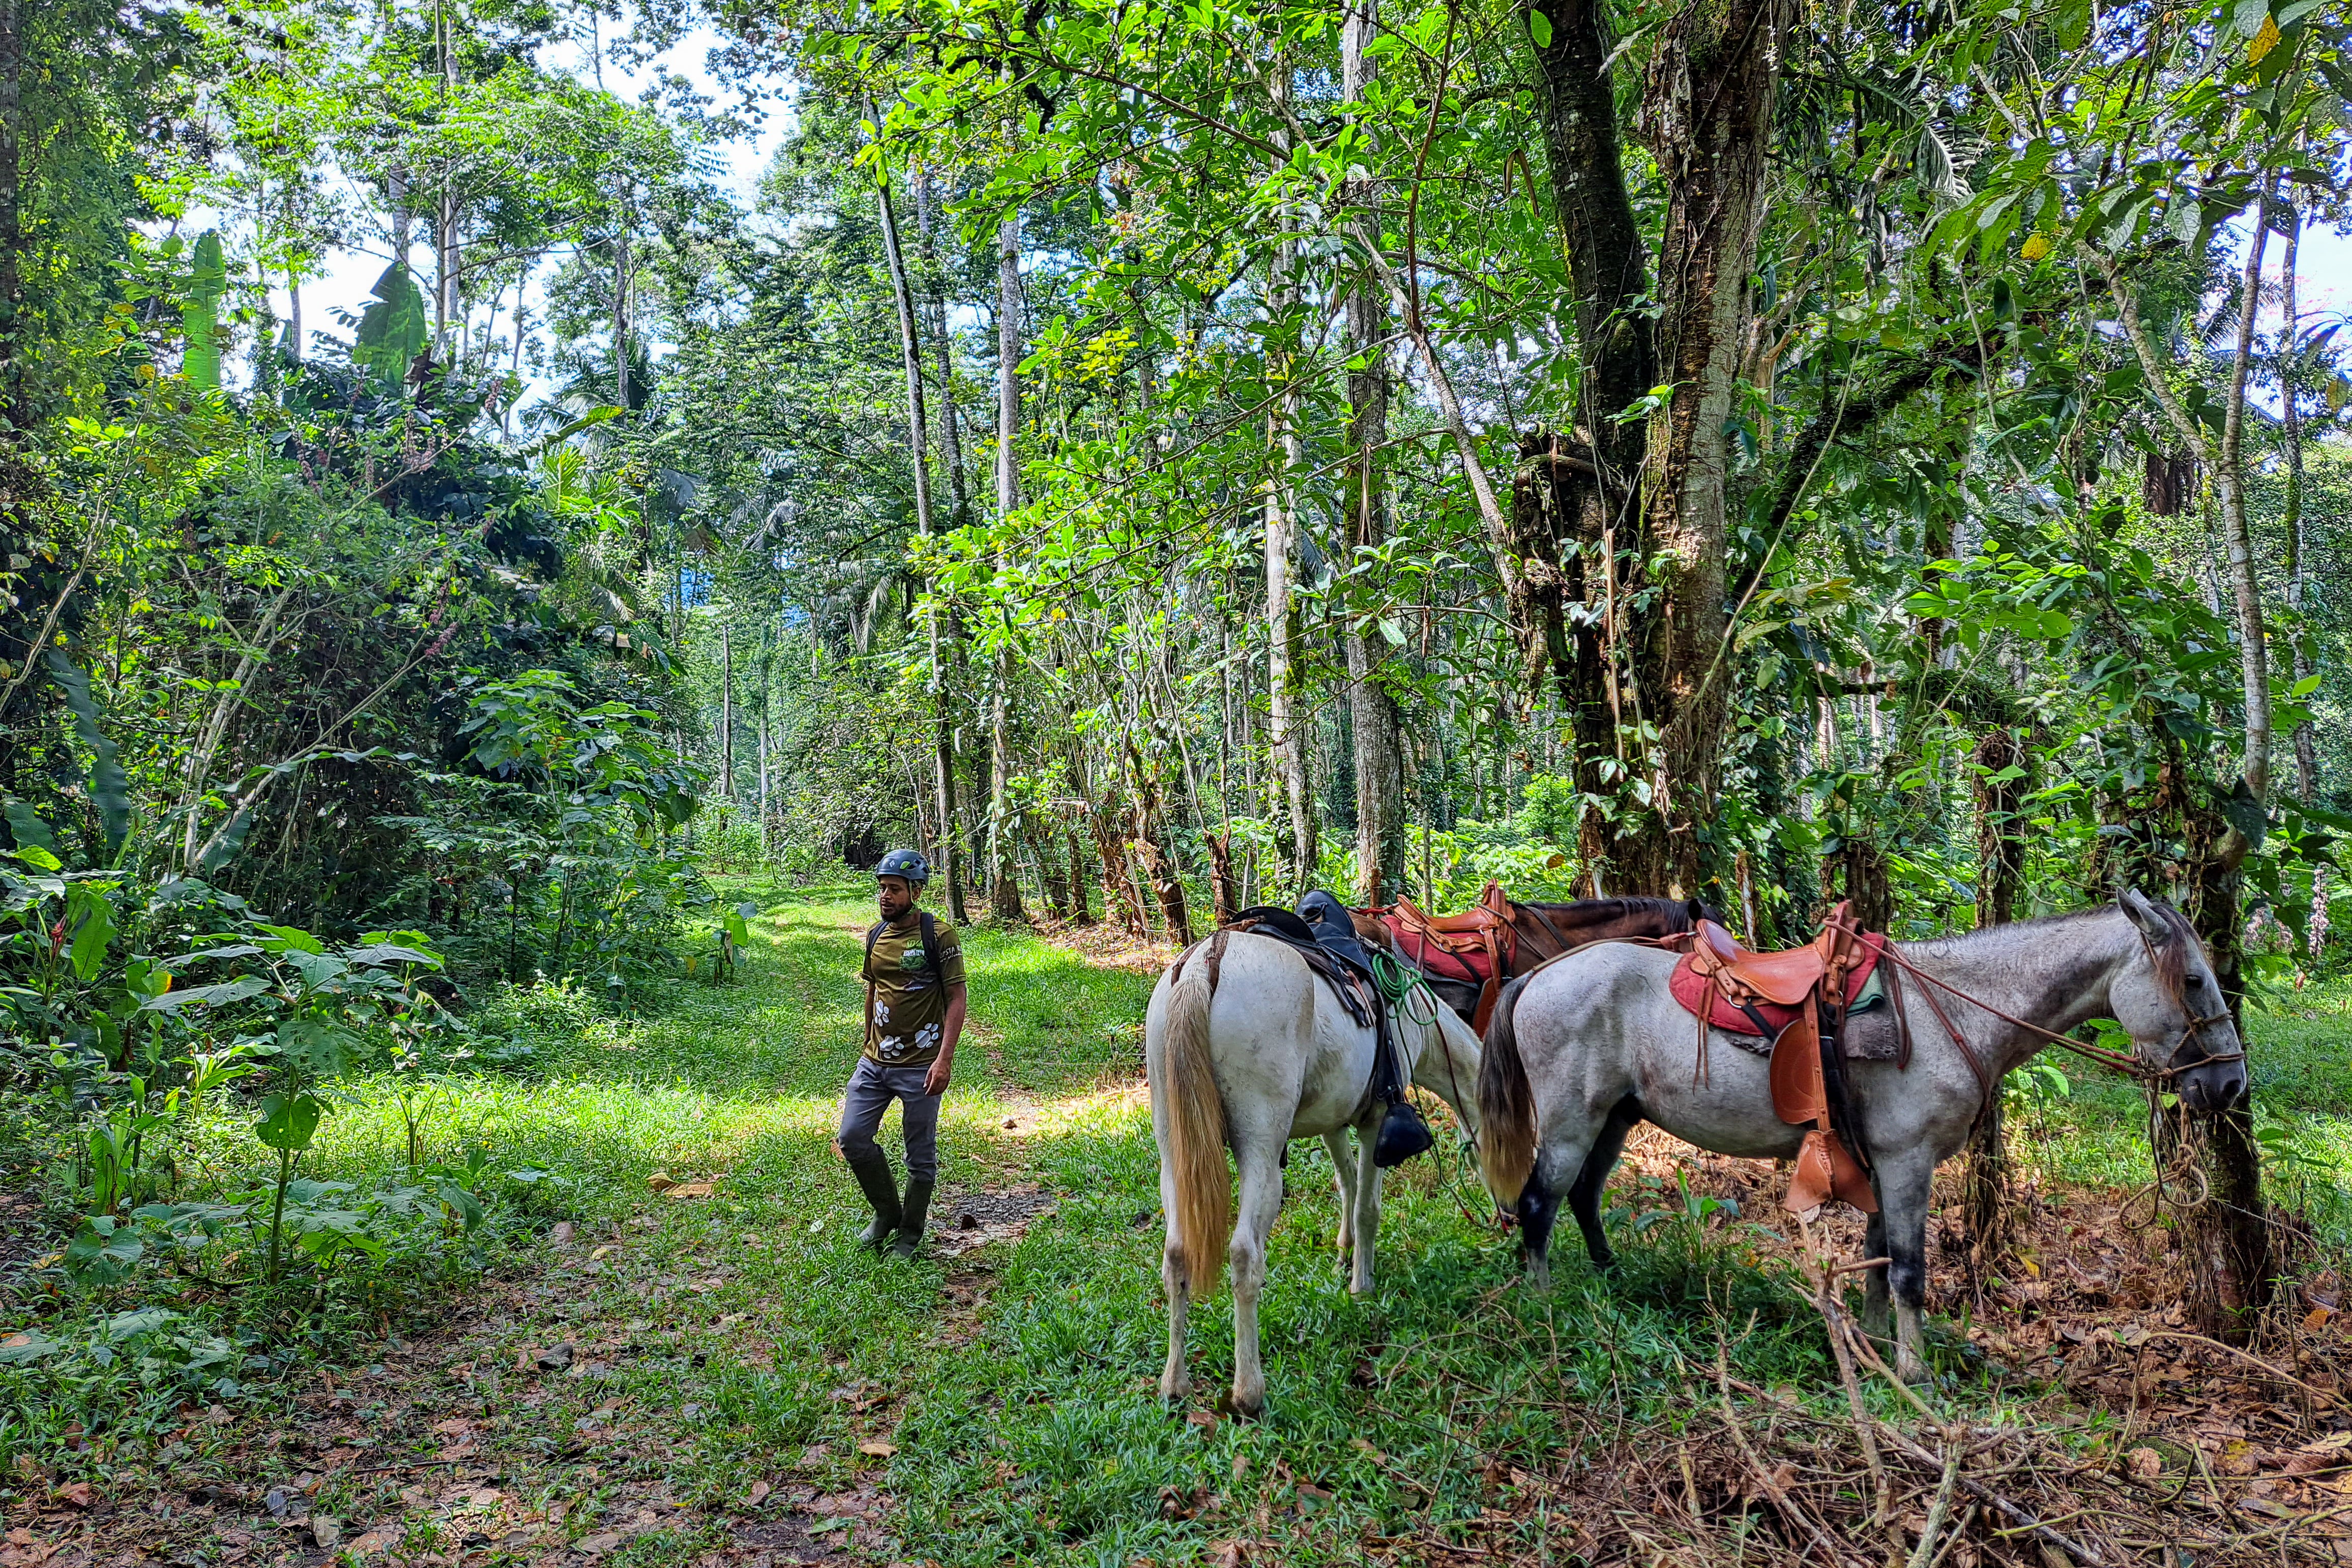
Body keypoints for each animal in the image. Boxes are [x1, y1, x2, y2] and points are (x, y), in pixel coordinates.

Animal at [1143, 931, 1486, 1419]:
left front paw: (1344, 1254)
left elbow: (1347, 1182)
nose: (1511, 1216)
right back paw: (1249, 1390)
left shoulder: (1334, 1122)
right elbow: (1367, 1207)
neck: (1412, 1015)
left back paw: (1175, 1384)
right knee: (1244, 1252)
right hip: (1262, 1151)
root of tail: (1205, 962)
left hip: (1173, 1149)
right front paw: (1362, 1285)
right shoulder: (1374, 1121)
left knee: (1176, 1255)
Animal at [1477, 893, 2248, 1382]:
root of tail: (1538, 974)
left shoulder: (1884, 1163)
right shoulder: (1907, 1160)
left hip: (1615, 1117)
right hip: (1573, 1120)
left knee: (1582, 1197)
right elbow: (1908, 1268)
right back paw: (1545, 1304)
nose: (2230, 1084)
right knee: (1540, 1202)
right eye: (2192, 979)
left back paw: (1610, 1281)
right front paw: (1913, 1370)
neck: (1952, 1011)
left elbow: (1879, 1259)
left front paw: (1877, 1345)